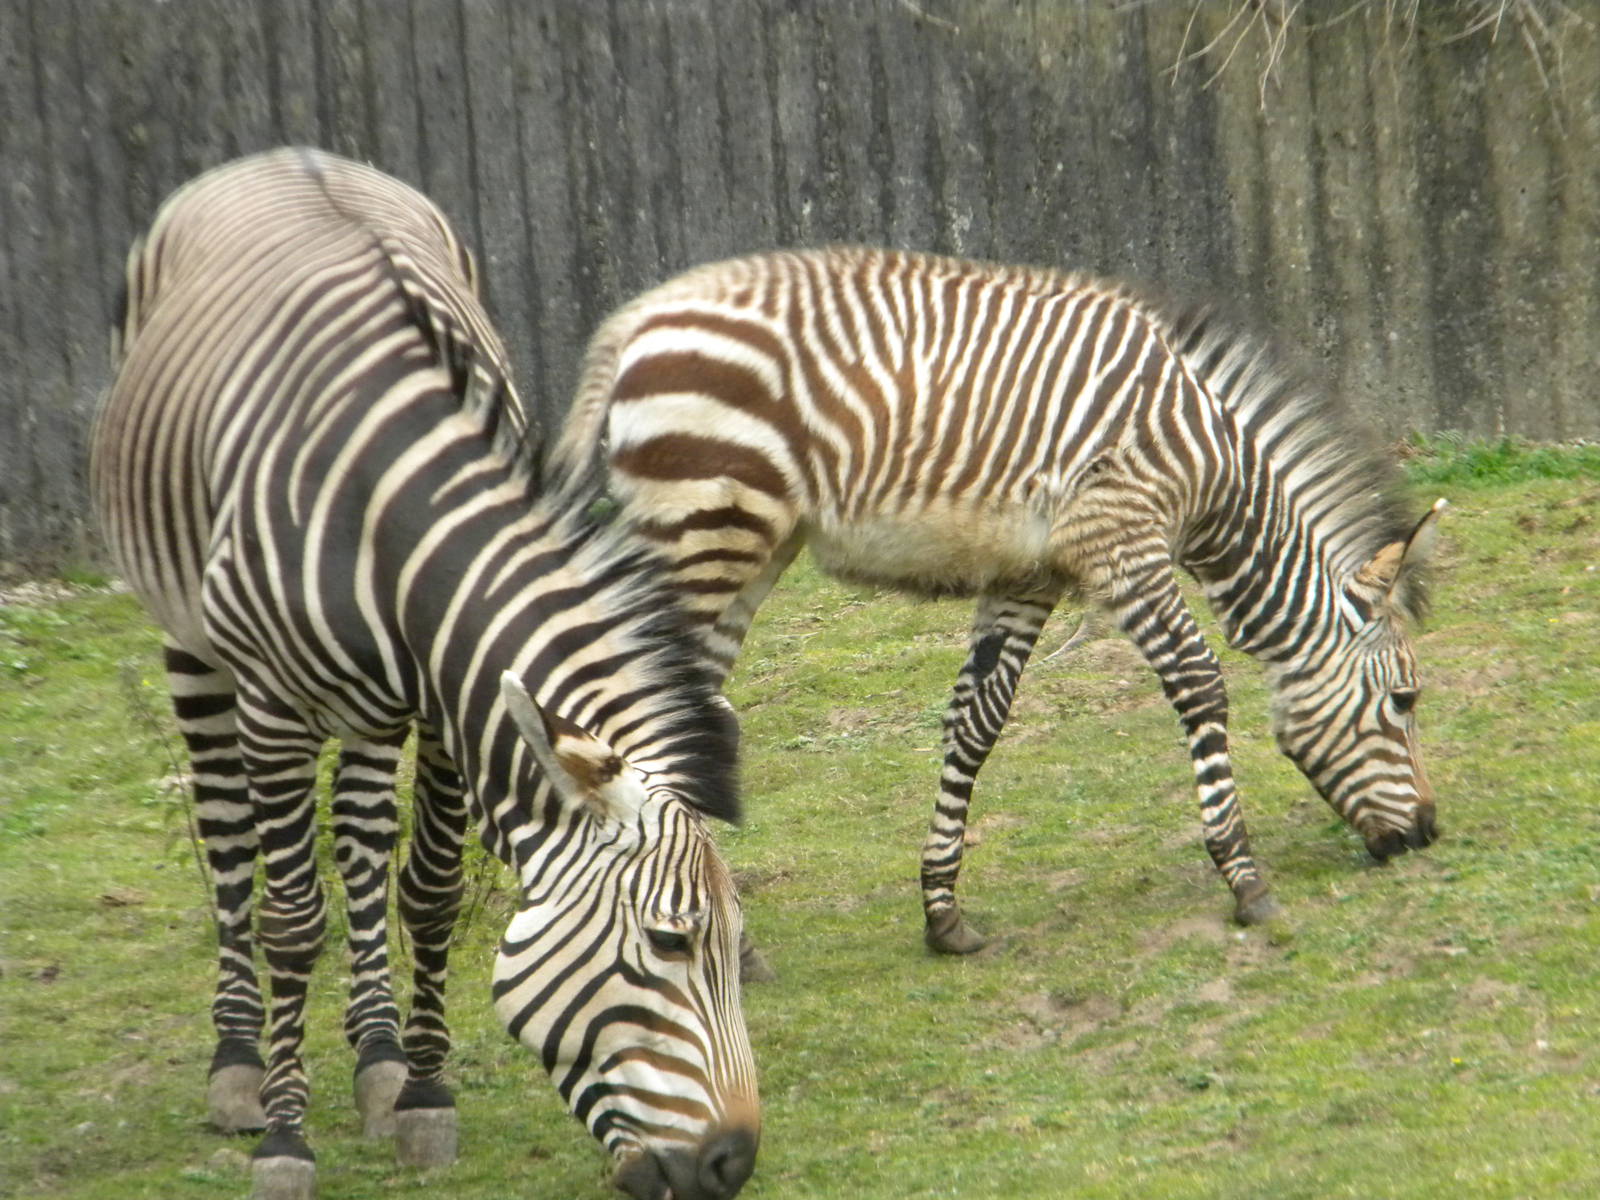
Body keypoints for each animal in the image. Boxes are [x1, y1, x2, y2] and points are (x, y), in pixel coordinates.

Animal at [90, 148, 758, 1200]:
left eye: (736, 949)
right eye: (671, 940)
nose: (733, 1164)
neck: (394, 515)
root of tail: (285, 154)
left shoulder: (453, 708)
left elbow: (431, 887)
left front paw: (424, 1097)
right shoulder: (276, 707)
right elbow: (292, 917)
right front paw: (287, 1145)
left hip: (371, 707)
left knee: (364, 836)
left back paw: (376, 1054)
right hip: (191, 637)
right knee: (226, 833)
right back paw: (237, 1066)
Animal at [548, 246, 1444, 955]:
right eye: (1404, 699)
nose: (1427, 835)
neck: (1210, 462)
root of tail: (637, 321)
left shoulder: (1028, 575)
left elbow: (976, 720)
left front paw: (942, 911)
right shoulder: (1122, 539)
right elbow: (1198, 682)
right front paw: (1245, 878)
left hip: (750, 546)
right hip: (707, 530)